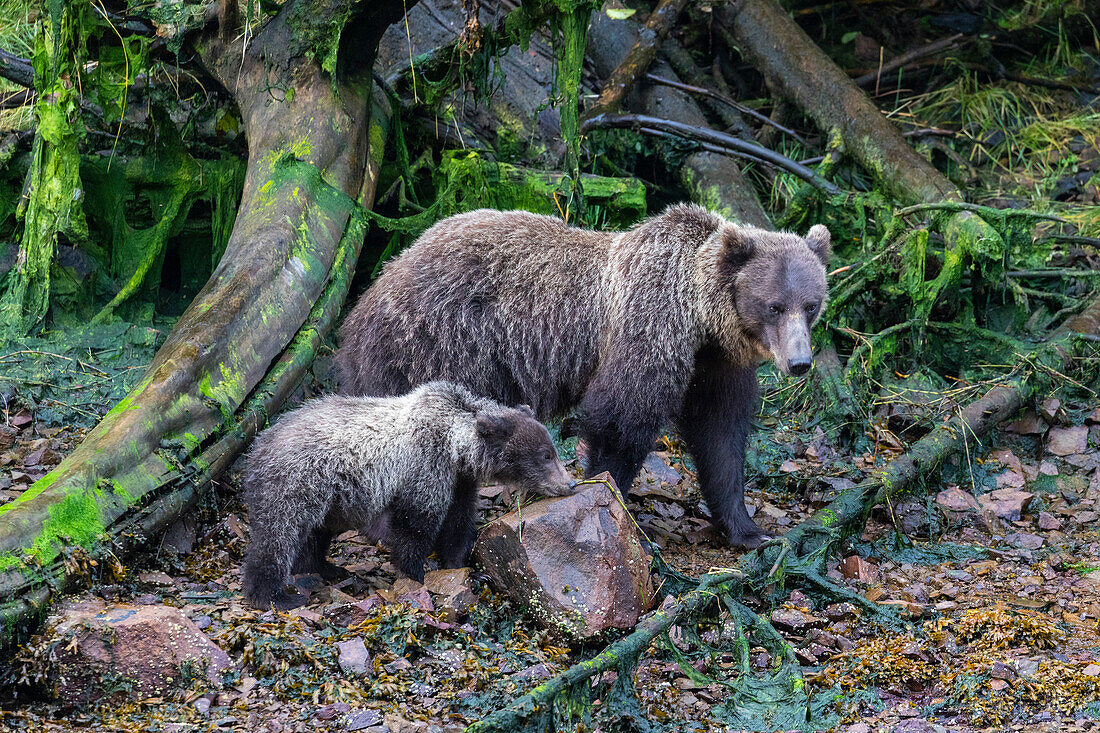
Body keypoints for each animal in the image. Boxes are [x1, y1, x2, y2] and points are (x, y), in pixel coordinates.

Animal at [338, 202, 827, 545]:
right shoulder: (648, 324)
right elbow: (620, 420)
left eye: (811, 303)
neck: (701, 318)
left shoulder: (717, 364)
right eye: (774, 306)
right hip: (440, 347)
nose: (799, 362)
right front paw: (616, 509)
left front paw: (748, 530)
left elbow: (721, 436)